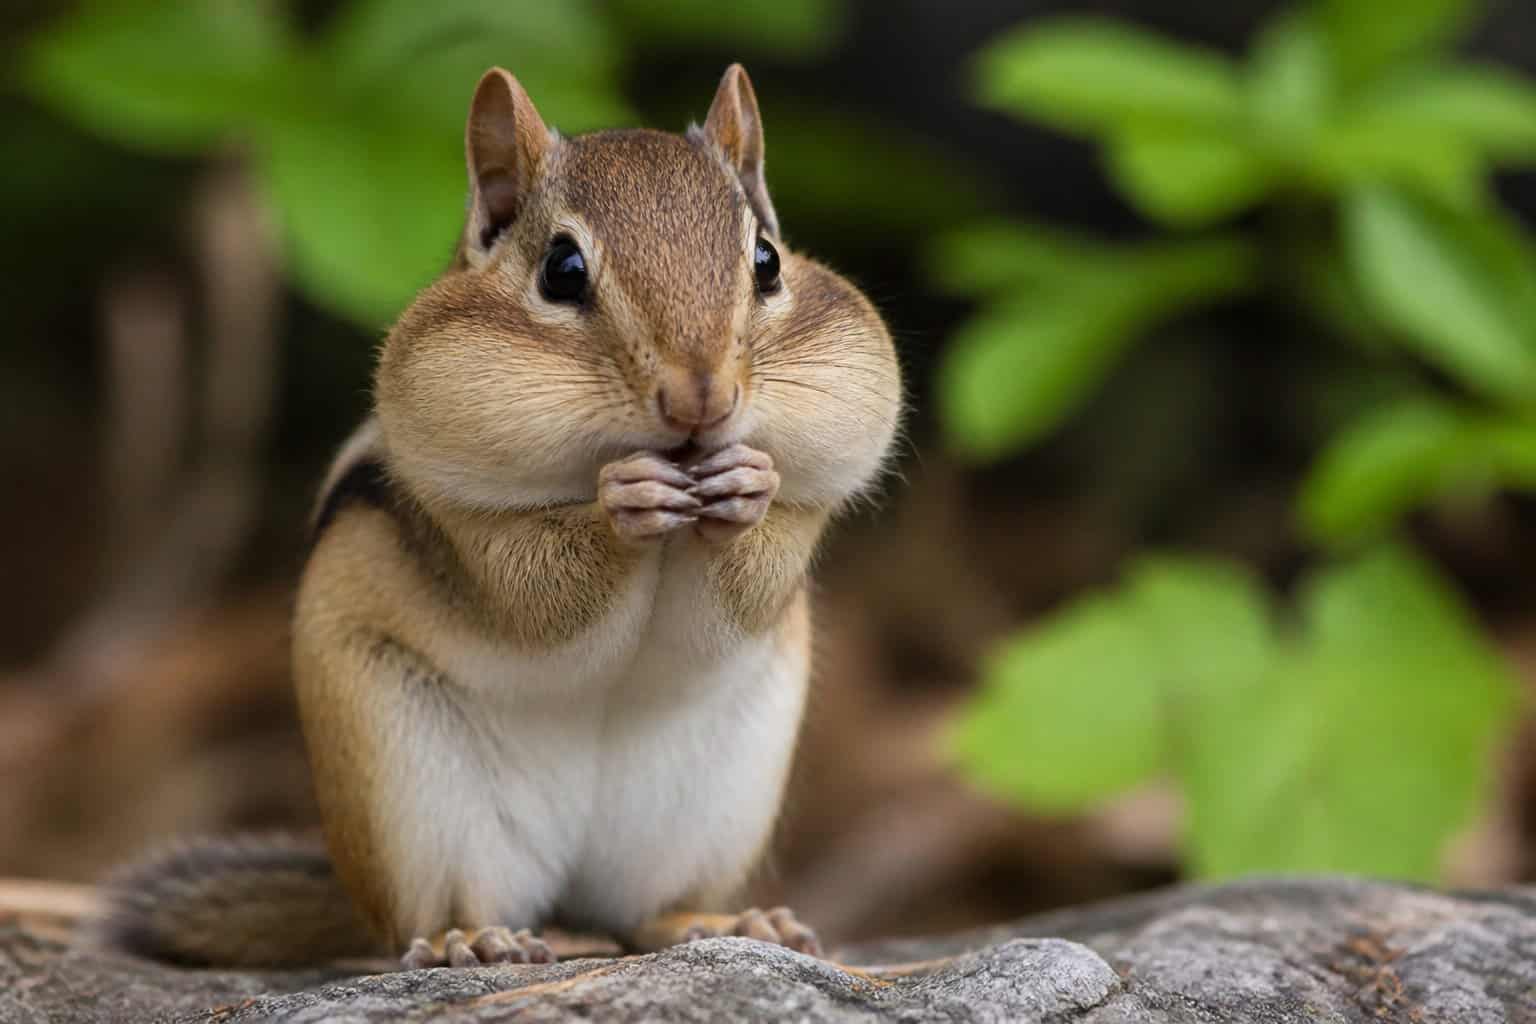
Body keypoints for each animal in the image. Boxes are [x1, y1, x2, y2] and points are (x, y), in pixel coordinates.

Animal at [88, 63, 903, 969]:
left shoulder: (808, 510)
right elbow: (529, 593)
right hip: (408, 786)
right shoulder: (458, 524)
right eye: (563, 270)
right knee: (429, 913)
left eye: (765, 261)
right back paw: (471, 939)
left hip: (715, 801)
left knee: (645, 914)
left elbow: (767, 559)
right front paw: (622, 501)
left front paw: (749, 485)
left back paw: (723, 922)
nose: (702, 400)